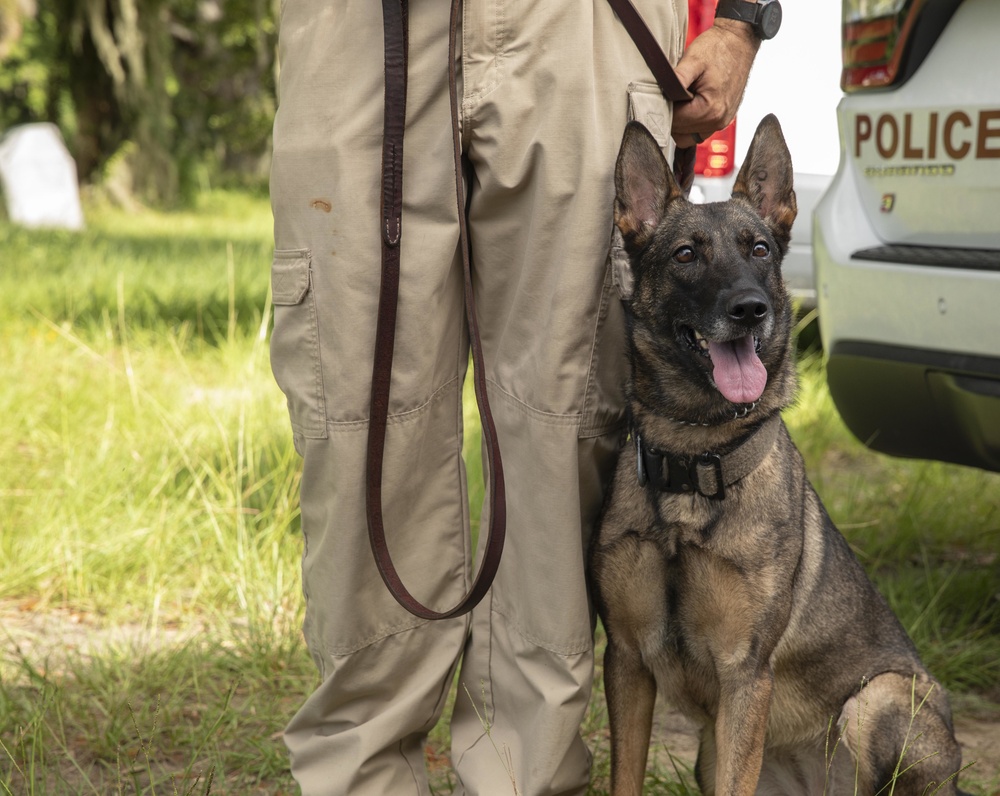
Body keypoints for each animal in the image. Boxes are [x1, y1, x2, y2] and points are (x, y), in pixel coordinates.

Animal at [588, 113, 964, 796]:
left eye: (759, 250)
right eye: (687, 255)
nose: (750, 309)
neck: (695, 464)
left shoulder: (745, 677)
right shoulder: (627, 663)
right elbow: (624, 776)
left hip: (877, 699)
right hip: (708, 748)